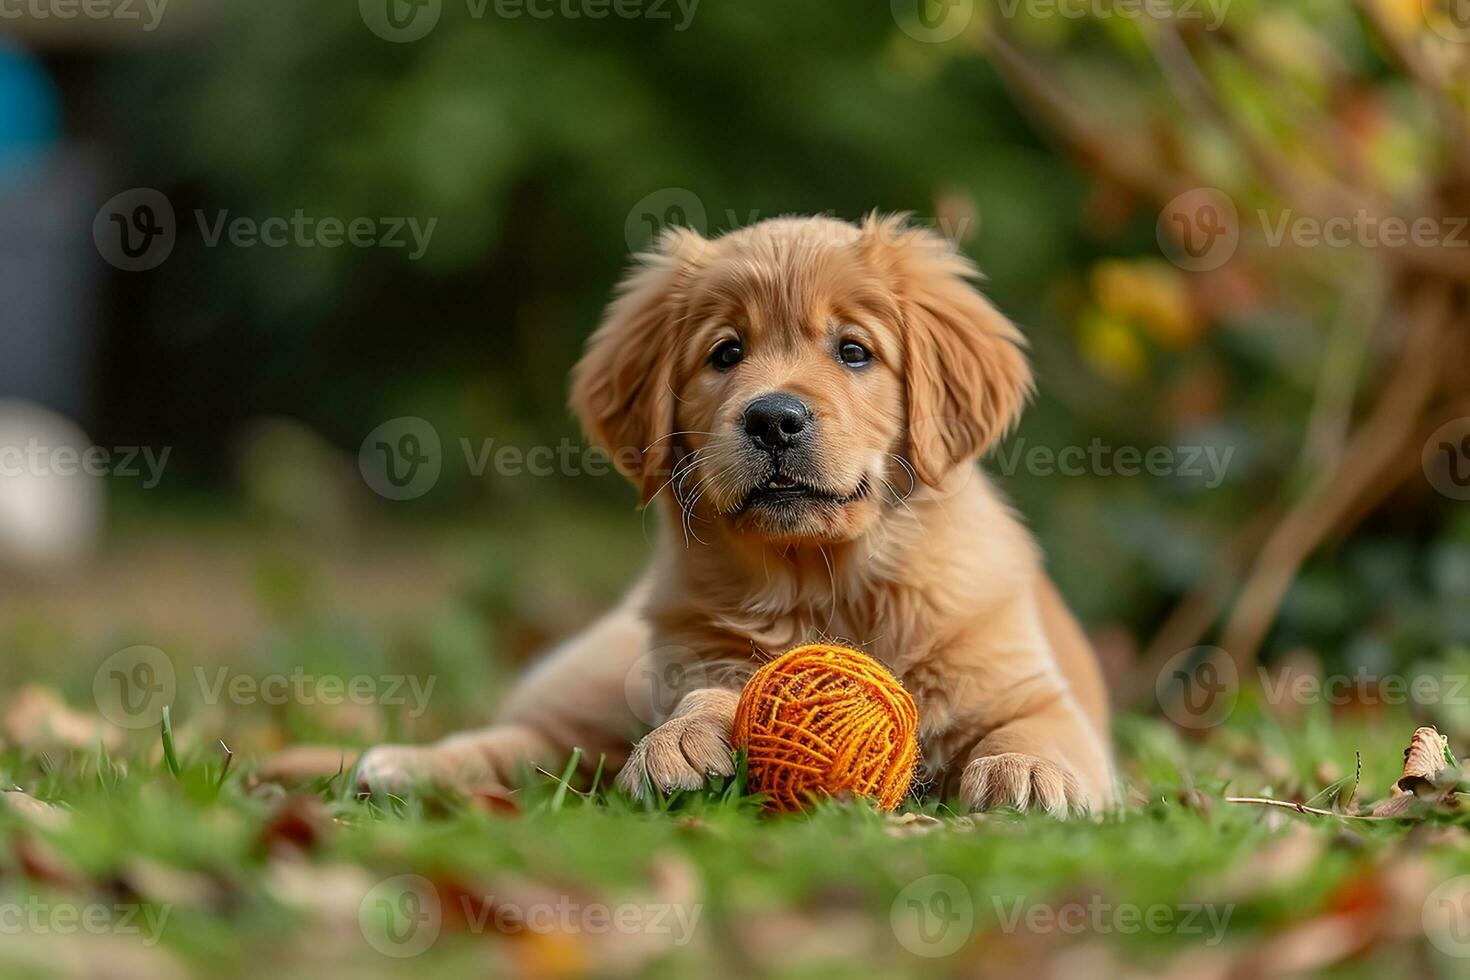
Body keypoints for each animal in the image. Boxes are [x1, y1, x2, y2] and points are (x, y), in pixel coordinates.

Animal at [358, 215, 1111, 822]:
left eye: (854, 351)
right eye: (726, 353)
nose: (774, 418)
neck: (825, 583)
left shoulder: (1028, 689)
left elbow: (1037, 729)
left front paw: (1029, 771)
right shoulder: (697, 656)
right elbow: (713, 693)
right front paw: (682, 740)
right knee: (531, 738)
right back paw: (405, 767)